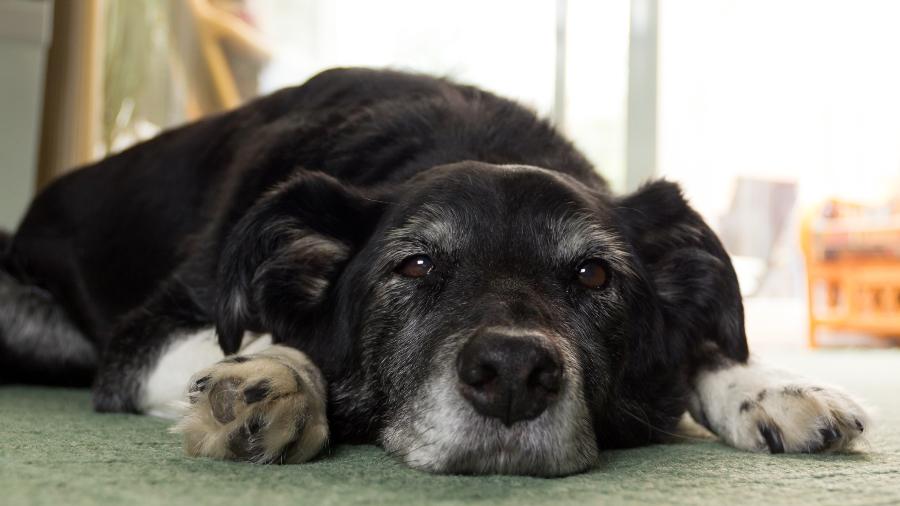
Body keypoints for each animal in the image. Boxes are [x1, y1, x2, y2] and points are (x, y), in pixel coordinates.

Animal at [1, 66, 872, 474]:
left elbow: (701, 349)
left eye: (593, 277)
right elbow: (270, 343)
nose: (513, 375)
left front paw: (773, 386)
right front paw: (271, 382)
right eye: (414, 265)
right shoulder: (142, 338)